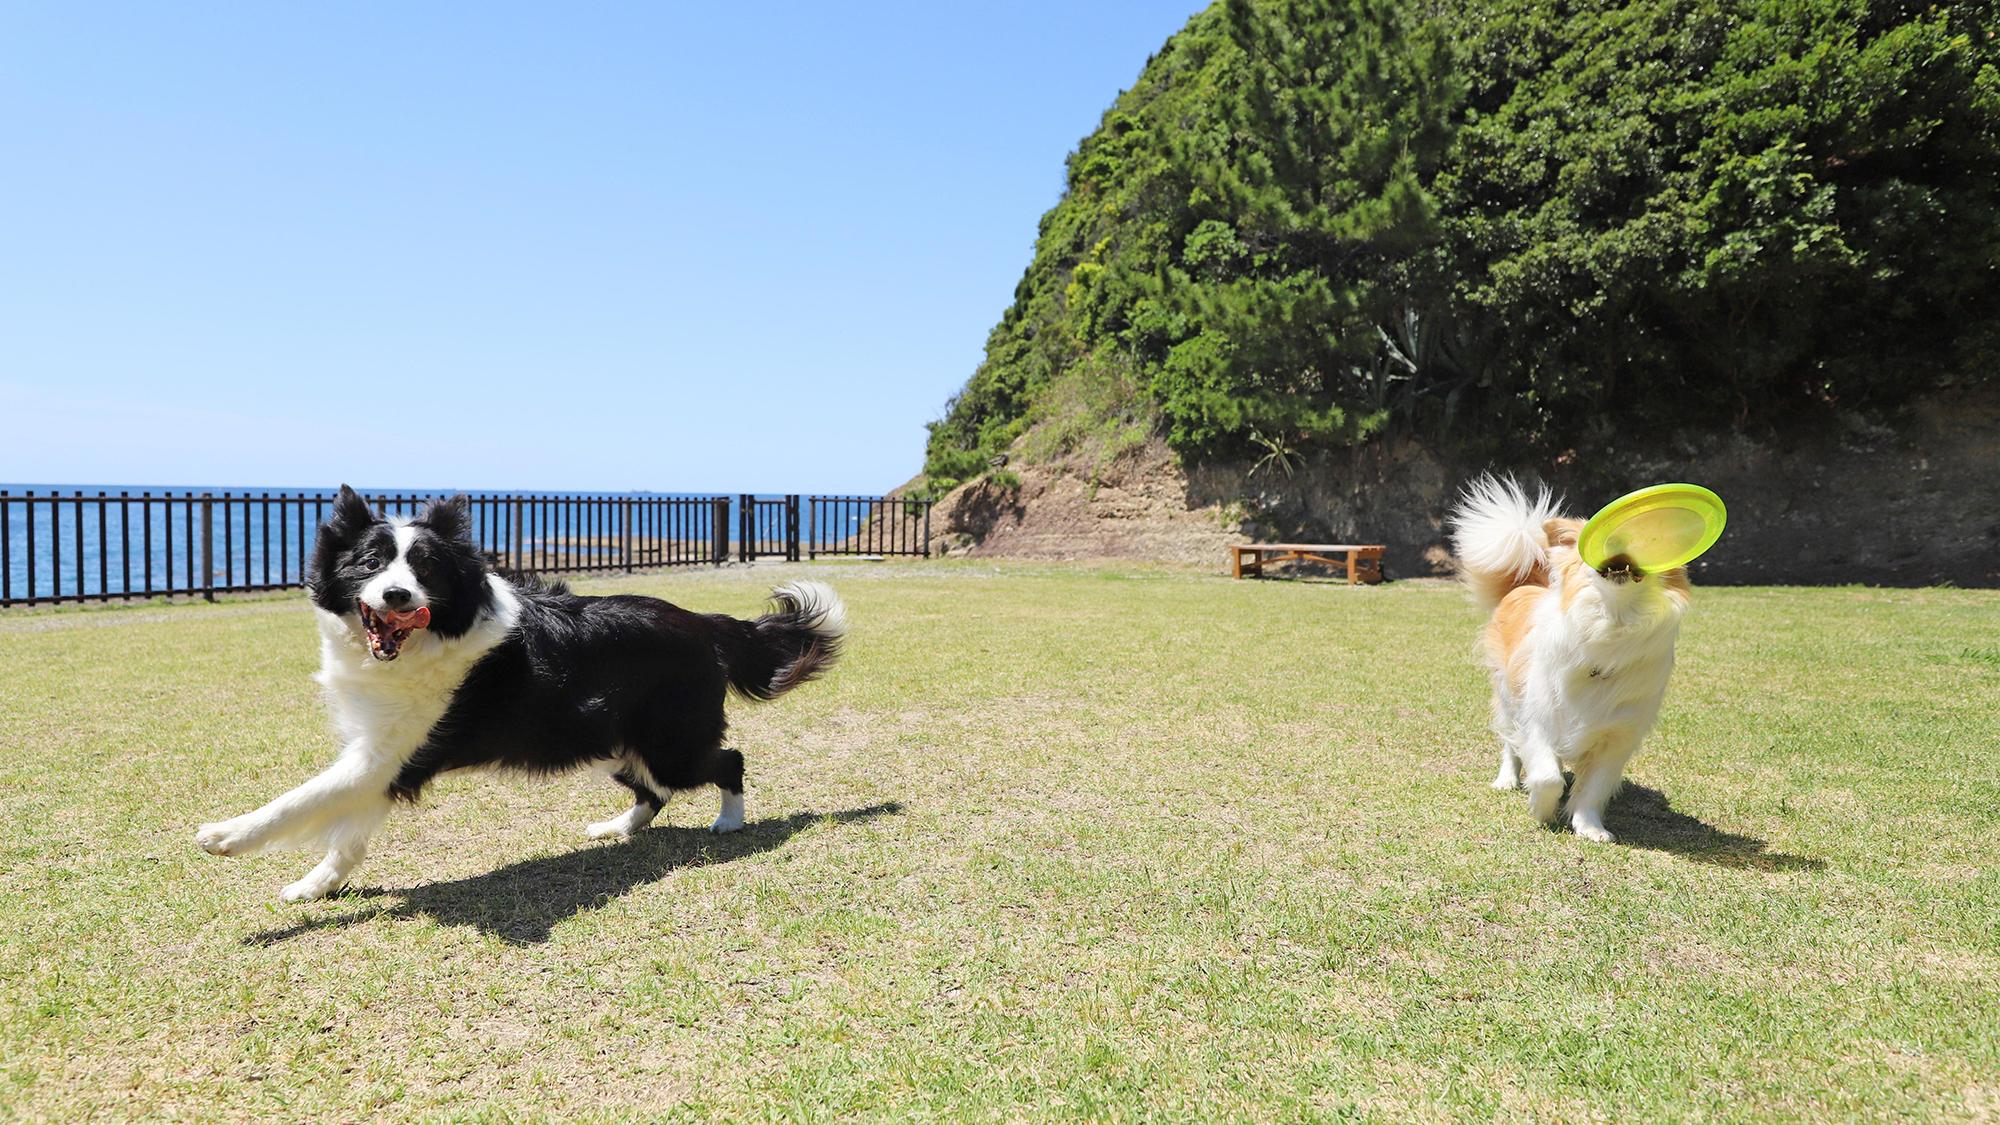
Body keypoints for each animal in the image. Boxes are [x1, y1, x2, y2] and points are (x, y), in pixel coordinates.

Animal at [193, 484, 836, 900]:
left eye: (426, 569)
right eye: (371, 563)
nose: (398, 596)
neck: (436, 637)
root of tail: (705, 621)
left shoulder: (393, 754)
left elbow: (301, 800)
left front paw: (227, 836)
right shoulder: (379, 758)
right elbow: (346, 833)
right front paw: (314, 886)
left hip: (669, 742)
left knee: (727, 760)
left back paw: (729, 822)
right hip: (607, 738)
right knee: (653, 791)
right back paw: (617, 829)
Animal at [1448, 472, 1696, 840]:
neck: (1612, 622)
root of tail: (1528, 584)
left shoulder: (1618, 737)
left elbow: (1593, 788)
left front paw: (1589, 827)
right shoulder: (1538, 717)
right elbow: (1547, 776)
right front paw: (1542, 809)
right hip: (1508, 696)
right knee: (1509, 743)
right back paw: (1507, 780)